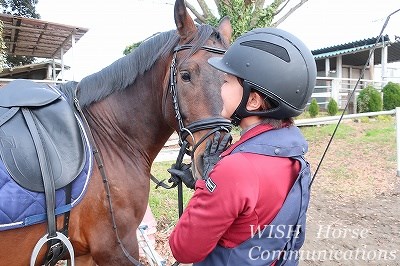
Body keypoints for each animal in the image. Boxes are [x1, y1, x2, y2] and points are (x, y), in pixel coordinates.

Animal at [0, 0, 231, 266]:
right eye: (185, 75)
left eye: (231, 80)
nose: (213, 157)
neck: (106, 138)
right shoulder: (114, 249)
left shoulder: (85, 253)